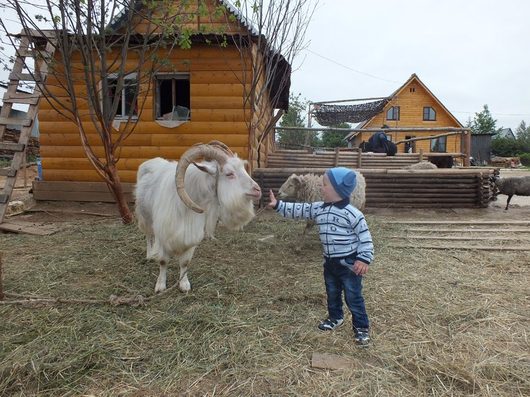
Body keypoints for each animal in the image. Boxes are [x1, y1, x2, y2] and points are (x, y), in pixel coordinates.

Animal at [135, 142, 260, 290]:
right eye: (229, 174)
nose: (257, 190)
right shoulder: (163, 234)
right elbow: (163, 261)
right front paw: (160, 285)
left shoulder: (191, 236)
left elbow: (185, 262)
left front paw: (184, 284)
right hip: (145, 217)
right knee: (148, 235)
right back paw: (149, 255)